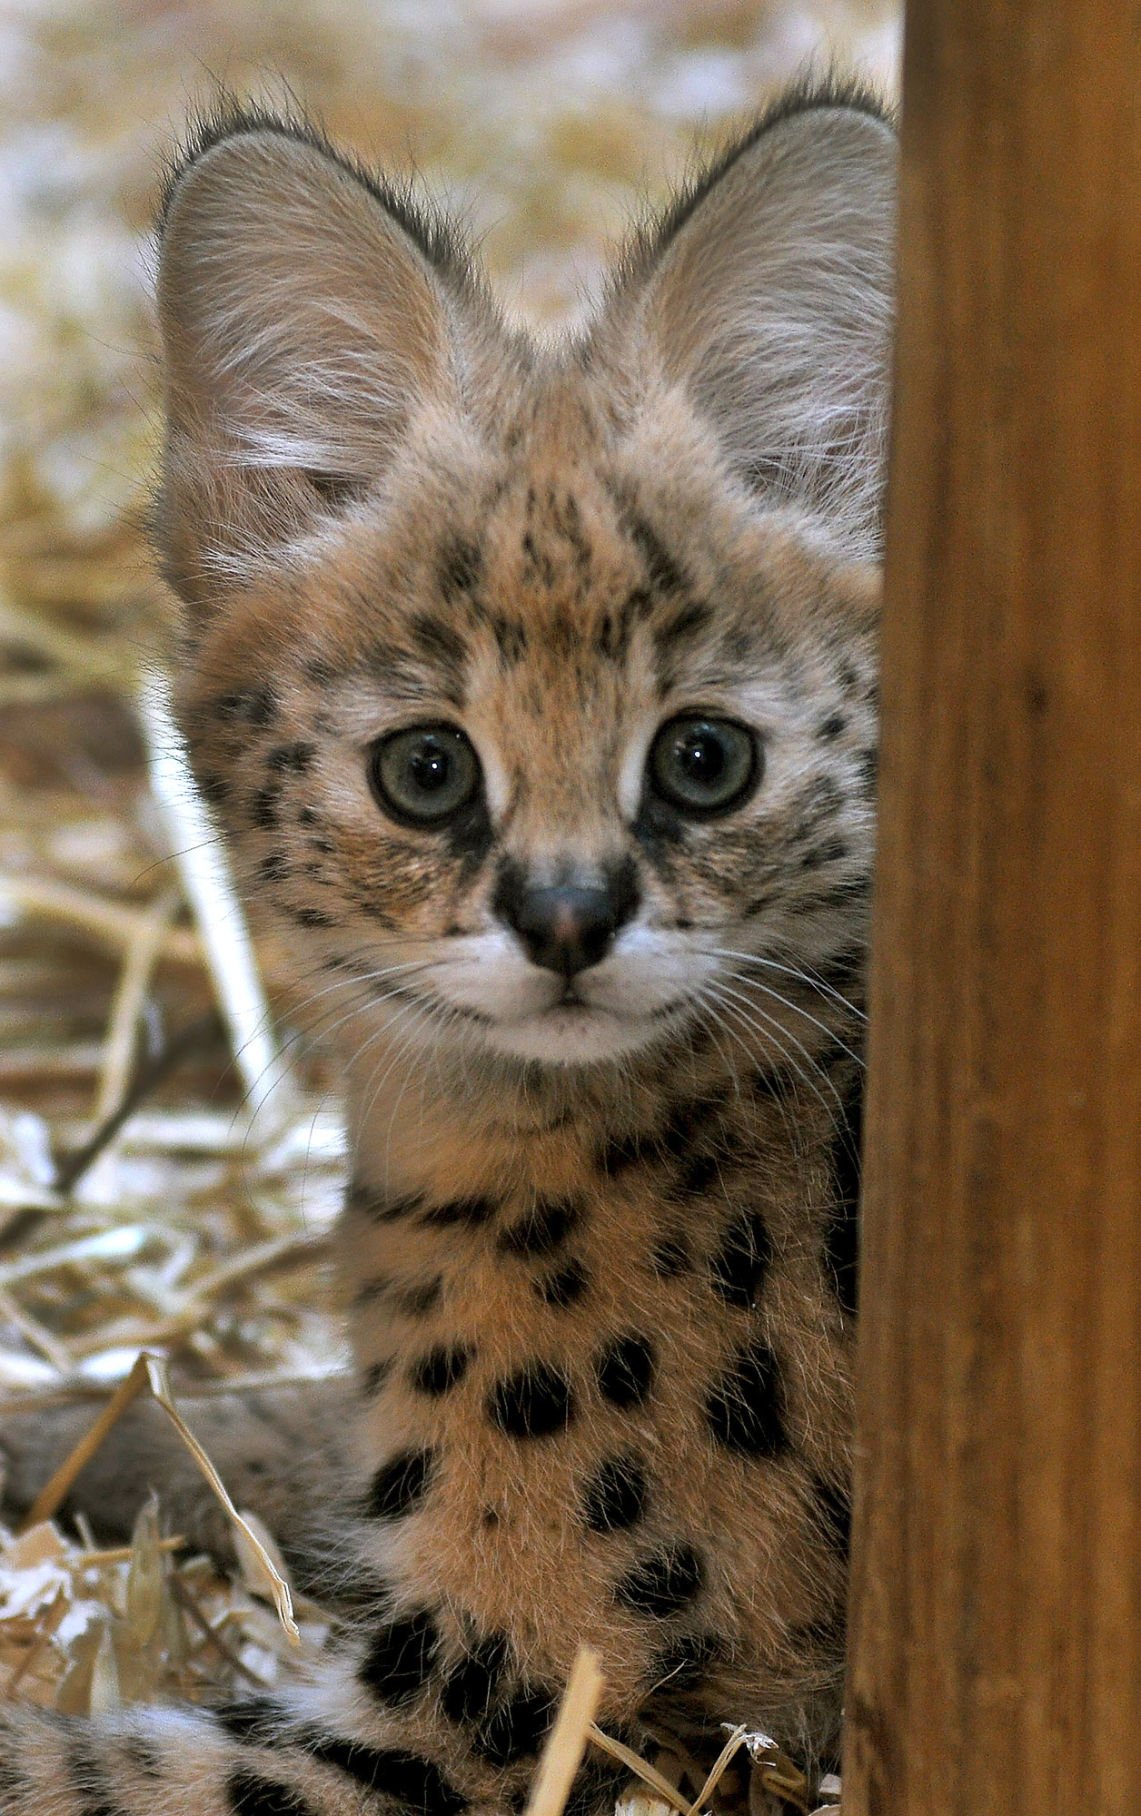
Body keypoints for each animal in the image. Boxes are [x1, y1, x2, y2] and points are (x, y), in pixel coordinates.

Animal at [0, 81, 890, 1816]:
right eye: (426, 771)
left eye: (704, 762)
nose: (567, 920)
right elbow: (212, 1413)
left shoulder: (485, 1711)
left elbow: (55, 1768)